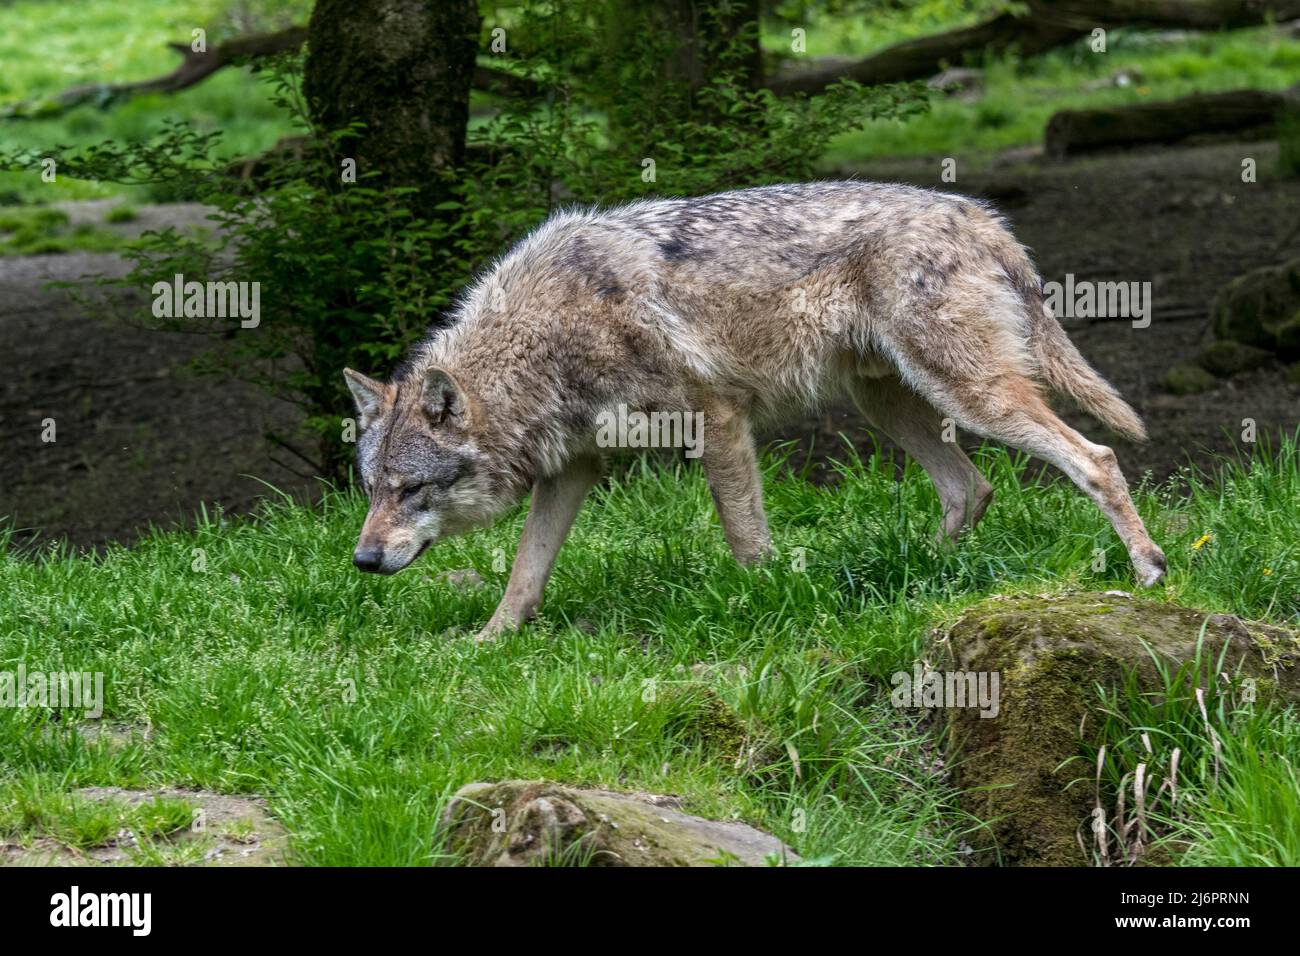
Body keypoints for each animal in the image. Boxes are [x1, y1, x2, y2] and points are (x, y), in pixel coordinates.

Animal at [344, 181, 1166, 641]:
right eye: (371, 491)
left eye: (412, 491)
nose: (362, 560)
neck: (546, 336)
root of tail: (979, 213)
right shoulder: (575, 466)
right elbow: (525, 572)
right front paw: (489, 641)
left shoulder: (718, 419)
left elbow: (745, 539)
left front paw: (767, 601)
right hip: (889, 403)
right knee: (972, 486)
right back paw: (921, 578)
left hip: (970, 396)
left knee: (1096, 458)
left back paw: (1150, 569)